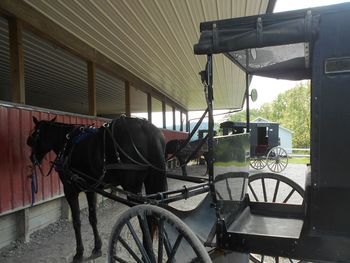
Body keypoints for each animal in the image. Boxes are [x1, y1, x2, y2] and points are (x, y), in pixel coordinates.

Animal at [26, 116, 166, 262]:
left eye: (34, 136)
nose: (32, 158)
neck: (67, 142)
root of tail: (147, 128)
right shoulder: (91, 189)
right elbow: (93, 218)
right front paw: (97, 247)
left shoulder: (69, 190)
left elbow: (76, 221)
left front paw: (79, 253)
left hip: (133, 189)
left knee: (145, 219)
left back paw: (146, 253)